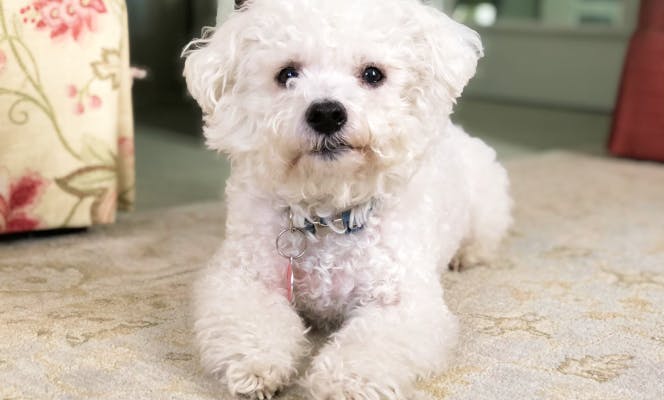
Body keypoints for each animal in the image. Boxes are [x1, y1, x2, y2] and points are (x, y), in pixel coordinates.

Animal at [184, 0, 510, 398]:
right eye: (286, 73)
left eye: (372, 74)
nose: (326, 113)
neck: (330, 214)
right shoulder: (242, 279)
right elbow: (251, 322)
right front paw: (257, 362)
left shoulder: (402, 302)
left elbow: (368, 346)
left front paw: (343, 381)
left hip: (486, 206)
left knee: (484, 239)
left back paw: (465, 256)